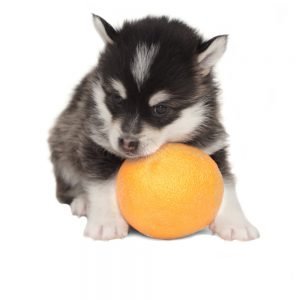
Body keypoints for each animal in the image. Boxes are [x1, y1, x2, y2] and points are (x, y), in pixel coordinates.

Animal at [48, 14, 258, 241]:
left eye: (161, 109)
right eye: (117, 99)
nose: (127, 143)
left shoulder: (212, 142)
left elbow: (226, 182)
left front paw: (236, 223)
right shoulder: (96, 142)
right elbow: (101, 182)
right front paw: (107, 222)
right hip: (65, 138)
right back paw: (83, 201)